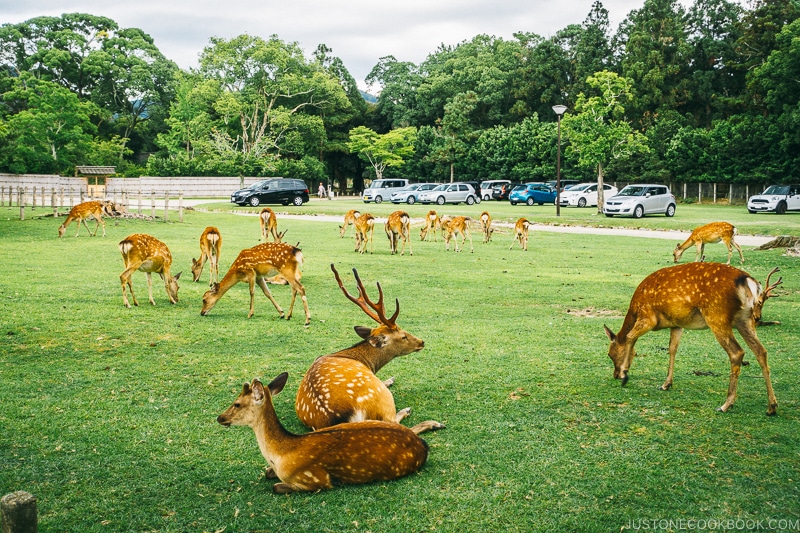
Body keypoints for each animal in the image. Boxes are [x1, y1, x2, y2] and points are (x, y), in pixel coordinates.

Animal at [217, 372, 432, 492]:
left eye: (237, 403)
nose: (220, 417)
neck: (281, 454)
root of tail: (423, 446)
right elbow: (268, 473)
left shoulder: (315, 479)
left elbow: (276, 486)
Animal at [296, 266, 446, 436]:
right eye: (403, 336)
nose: (421, 342)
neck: (364, 361)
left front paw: (389, 379)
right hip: (382, 397)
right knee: (396, 425)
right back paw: (428, 421)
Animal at [608, 264, 780, 414]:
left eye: (610, 354)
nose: (615, 375)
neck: (634, 309)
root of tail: (748, 281)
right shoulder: (677, 324)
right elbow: (672, 349)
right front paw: (666, 384)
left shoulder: (648, 317)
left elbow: (629, 336)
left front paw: (625, 374)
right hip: (746, 319)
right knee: (761, 351)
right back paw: (772, 406)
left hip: (717, 315)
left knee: (737, 352)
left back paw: (725, 405)